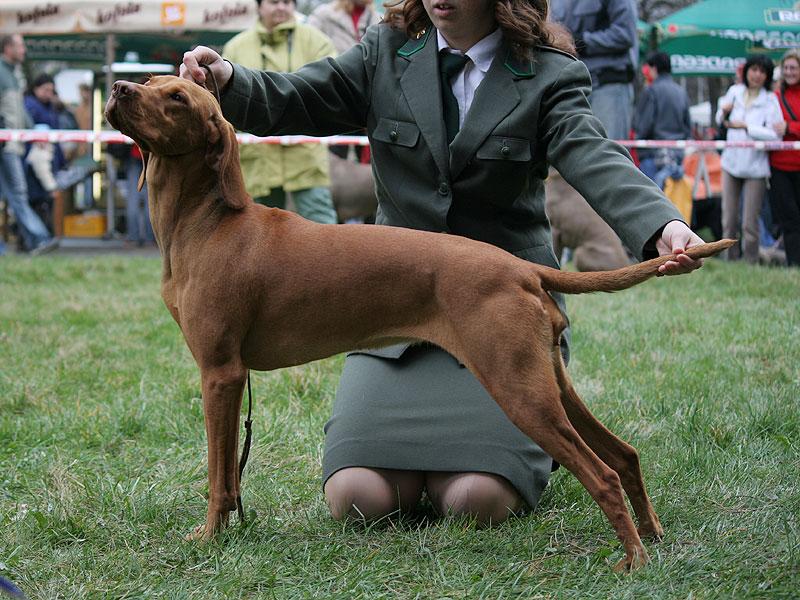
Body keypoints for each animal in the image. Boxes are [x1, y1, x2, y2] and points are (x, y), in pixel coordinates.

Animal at [108, 76, 736, 572]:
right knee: (624, 454)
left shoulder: (220, 371)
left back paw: (633, 560)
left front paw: (209, 538)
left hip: (518, 390)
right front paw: (234, 531)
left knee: (600, 472)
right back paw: (653, 536)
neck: (208, 223)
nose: (117, 88)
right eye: (154, 81)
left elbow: (218, 475)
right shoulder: (232, 376)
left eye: (178, 96)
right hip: (548, 381)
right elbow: (231, 475)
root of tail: (520, 267)